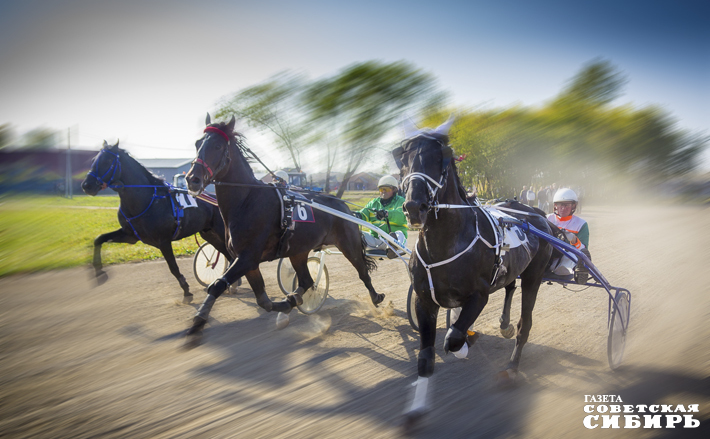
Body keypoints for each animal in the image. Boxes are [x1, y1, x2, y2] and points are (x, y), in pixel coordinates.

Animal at [81, 141, 231, 302]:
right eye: (93, 160)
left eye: (107, 160)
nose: (86, 185)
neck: (145, 200)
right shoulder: (130, 235)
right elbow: (99, 239)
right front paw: (99, 272)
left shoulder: (163, 241)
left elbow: (173, 267)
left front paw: (186, 291)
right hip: (208, 233)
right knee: (226, 252)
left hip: (221, 230)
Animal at [184, 115, 384, 342]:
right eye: (197, 144)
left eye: (217, 146)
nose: (192, 179)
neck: (247, 200)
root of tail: (343, 205)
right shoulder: (248, 262)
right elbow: (262, 300)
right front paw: (286, 305)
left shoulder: (248, 257)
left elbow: (217, 285)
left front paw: (198, 322)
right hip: (298, 251)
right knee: (307, 280)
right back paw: (294, 298)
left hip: (348, 243)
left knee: (362, 272)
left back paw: (376, 297)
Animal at [394, 119, 556, 426]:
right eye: (402, 159)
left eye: (440, 157)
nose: (413, 207)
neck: (445, 245)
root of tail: (537, 214)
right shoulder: (424, 300)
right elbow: (426, 357)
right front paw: (415, 409)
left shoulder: (479, 295)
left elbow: (454, 337)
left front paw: (462, 343)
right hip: (512, 269)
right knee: (509, 287)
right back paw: (504, 325)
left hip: (534, 276)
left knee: (524, 324)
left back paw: (512, 368)